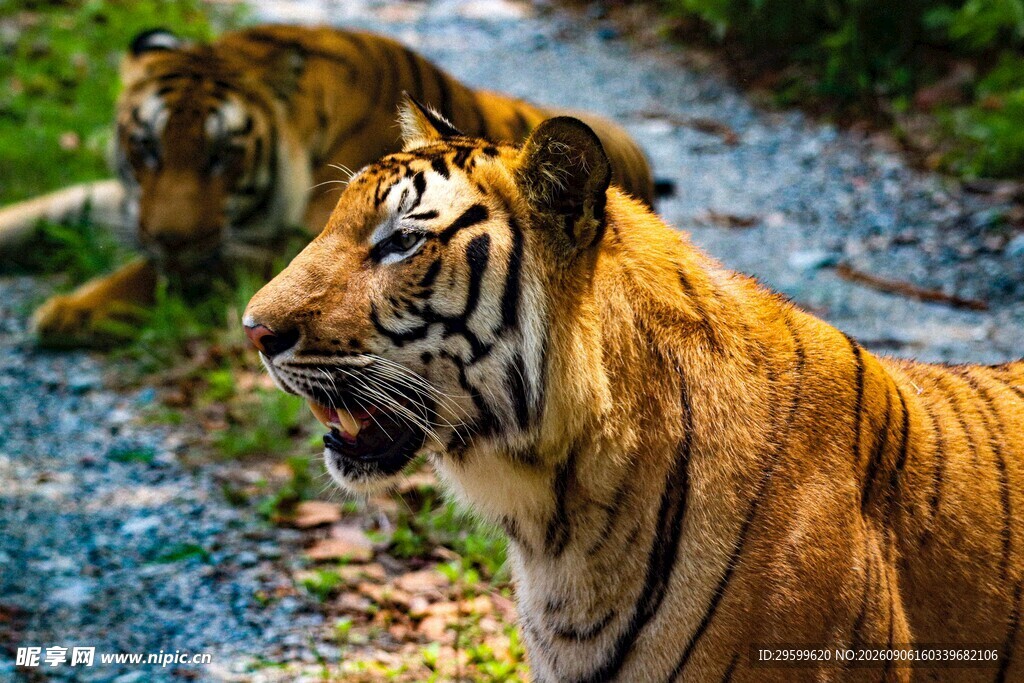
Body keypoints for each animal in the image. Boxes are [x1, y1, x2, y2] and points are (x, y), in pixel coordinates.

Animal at [0, 24, 656, 347]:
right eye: (147, 148)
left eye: (221, 156)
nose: (170, 239)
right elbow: (48, 209)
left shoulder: (285, 242)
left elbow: (167, 270)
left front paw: (70, 311)